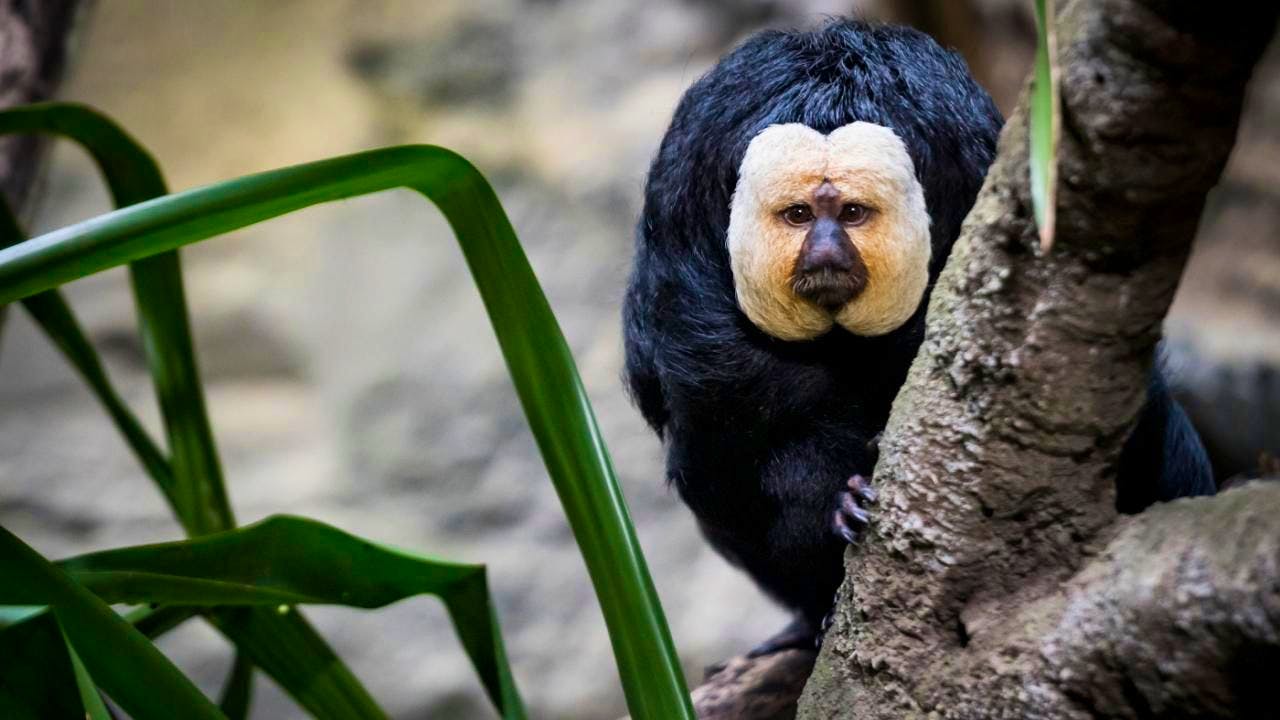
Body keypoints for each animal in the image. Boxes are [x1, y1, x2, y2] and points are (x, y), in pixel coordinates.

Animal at [622, 19, 1215, 654]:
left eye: (852, 213)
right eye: (800, 215)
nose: (825, 251)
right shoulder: (688, 231)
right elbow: (740, 406)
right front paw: (841, 507)